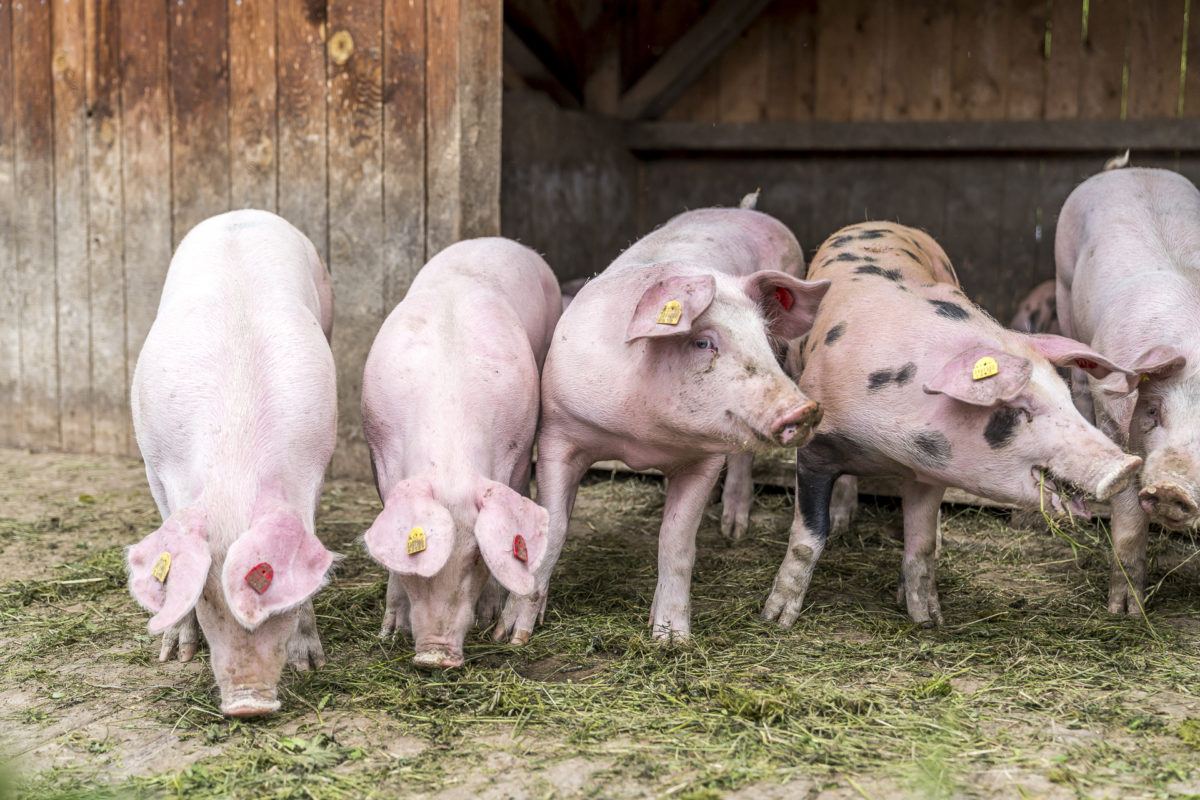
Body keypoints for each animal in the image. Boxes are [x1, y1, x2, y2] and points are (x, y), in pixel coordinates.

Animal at [126, 209, 338, 714]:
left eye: (275, 595)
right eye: (204, 600)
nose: (248, 704)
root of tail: (241, 213)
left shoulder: (314, 466)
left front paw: (311, 663)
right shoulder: (154, 465)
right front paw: (175, 656)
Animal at [357, 239, 559, 671]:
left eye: (476, 560)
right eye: (417, 557)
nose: (436, 656)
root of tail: (496, 240)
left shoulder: (517, 459)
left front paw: (488, 619)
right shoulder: (379, 458)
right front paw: (389, 633)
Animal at [492, 205, 830, 642]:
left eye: (762, 337)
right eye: (703, 341)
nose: (806, 410)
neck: (639, 438)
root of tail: (745, 209)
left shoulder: (706, 457)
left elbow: (676, 540)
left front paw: (671, 639)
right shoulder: (558, 433)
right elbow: (554, 530)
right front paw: (512, 635)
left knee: (742, 459)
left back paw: (733, 530)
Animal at [763, 221, 1137, 628]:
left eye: (1067, 398)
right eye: (1021, 408)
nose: (1127, 465)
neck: (884, 446)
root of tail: (884, 223)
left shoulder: (928, 469)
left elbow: (921, 545)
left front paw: (929, 620)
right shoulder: (814, 449)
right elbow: (807, 537)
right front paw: (775, 620)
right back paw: (843, 520)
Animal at [1060, 163, 1200, 614]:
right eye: (1153, 411)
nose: (1171, 487)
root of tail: (1133, 169)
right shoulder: (1114, 416)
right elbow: (1129, 522)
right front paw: (1126, 612)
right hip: (1063, 287)